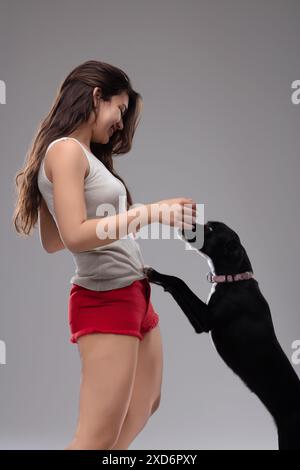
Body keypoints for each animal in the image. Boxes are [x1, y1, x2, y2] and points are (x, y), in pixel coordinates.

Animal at [145, 222, 300, 450]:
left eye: (210, 230)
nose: (187, 223)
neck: (233, 280)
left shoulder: (205, 320)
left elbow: (179, 282)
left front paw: (154, 273)